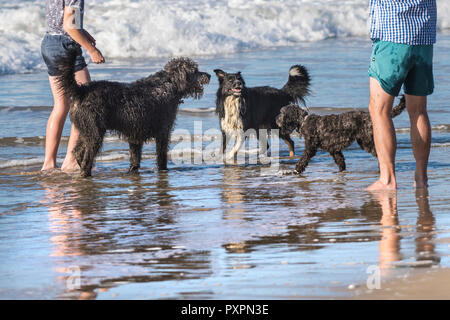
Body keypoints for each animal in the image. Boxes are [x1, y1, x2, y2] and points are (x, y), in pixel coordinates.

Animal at [56, 47, 211, 178]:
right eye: (195, 70)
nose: (208, 75)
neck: (168, 84)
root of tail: (82, 90)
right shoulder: (163, 132)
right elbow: (161, 156)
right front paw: (163, 170)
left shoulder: (135, 135)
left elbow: (135, 158)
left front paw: (133, 172)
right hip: (94, 133)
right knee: (87, 156)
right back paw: (85, 173)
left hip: (86, 130)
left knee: (77, 151)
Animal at [276, 96, 406, 174]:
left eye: (282, 113)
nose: (276, 119)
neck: (304, 121)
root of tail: (369, 116)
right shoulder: (334, 149)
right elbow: (340, 161)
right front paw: (342, 171)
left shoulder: (310, 148)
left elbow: (303, 159)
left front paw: (296, 170)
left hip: (366, 142)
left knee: (380, 152)